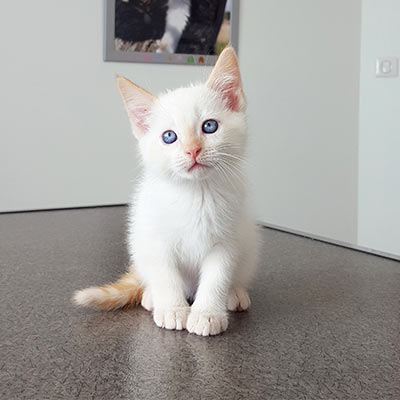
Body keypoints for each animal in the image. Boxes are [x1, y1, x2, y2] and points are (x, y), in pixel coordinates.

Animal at [73, 46, 260, 334]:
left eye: (209, 126)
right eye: (169, 136)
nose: (193, 150)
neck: (195, 194)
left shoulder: (227, 240)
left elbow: (217, 276)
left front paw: (207, 313)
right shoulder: (155, 237)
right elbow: (165, 274)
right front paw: (173, 309)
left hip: (248, 240)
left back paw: (235, 293)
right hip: (138, 242)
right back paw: (152, 296)